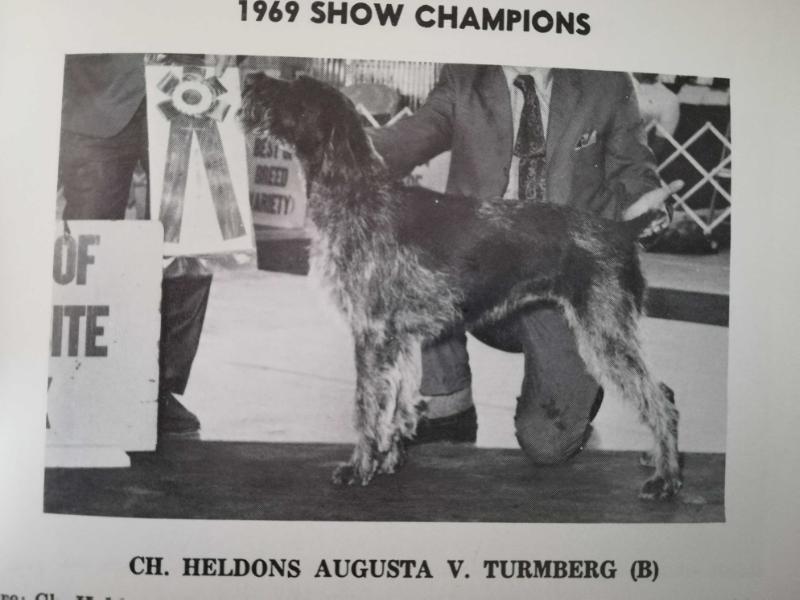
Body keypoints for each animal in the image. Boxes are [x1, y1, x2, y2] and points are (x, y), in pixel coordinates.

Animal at [238, 72, 680, 500]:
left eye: (294, 89)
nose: (252, 78)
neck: (357, 190)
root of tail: (620, 230)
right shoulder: (397, 339)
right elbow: (395, 399)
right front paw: (388, 459)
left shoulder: (371, 331)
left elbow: (366, 404)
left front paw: (359, 467)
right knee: (663, 393)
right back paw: (655, 459)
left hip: (605, 333)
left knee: (659, 400)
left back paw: (666, 478)